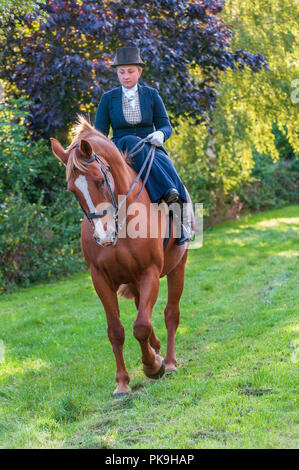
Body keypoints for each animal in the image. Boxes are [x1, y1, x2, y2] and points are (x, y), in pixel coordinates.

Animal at [50, 115, 192, 394]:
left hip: (177, 268)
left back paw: (169, 362)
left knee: (170, 313)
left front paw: (152, 366)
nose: (104, 236)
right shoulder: (101, 281)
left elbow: (141, 326)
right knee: (144, 311)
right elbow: (116, 330)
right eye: (72, 190)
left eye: (100, 180)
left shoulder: (149, 273)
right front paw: (123, 383)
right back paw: (157, 351)